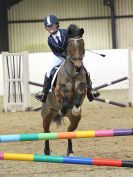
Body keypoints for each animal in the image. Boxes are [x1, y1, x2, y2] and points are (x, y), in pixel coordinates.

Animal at [41, 24, 89, 156]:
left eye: (82, 44)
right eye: (70, 45)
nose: (78, 65)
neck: (73, 73)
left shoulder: (82, 88)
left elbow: (78, 98)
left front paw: (75, 109)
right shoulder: (58, 91)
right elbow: (63, 94)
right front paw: (63, 109)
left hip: (75, 120)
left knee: (69, 131)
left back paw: (70, 151)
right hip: (47, 113)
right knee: (46, 130)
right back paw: (46, 151)